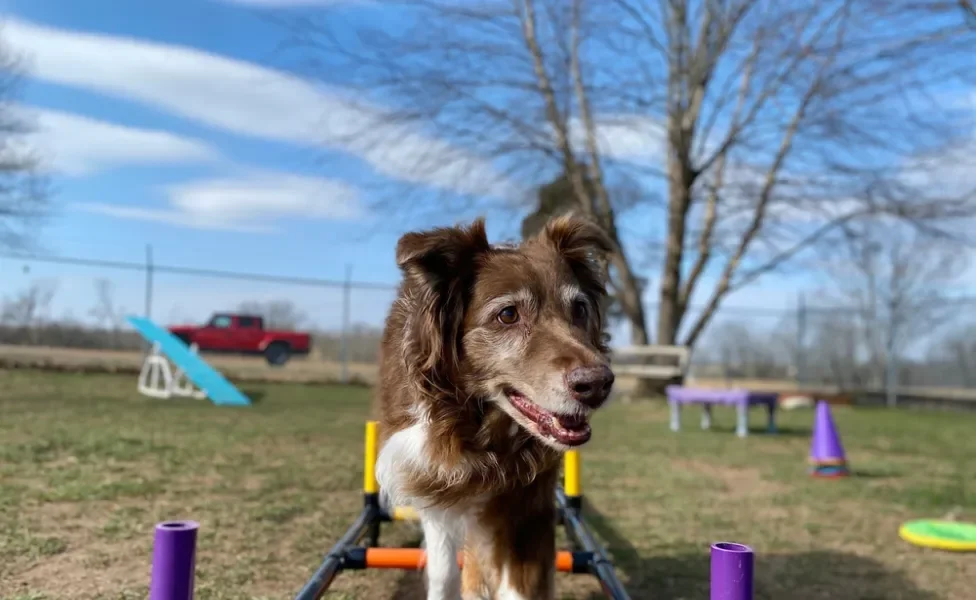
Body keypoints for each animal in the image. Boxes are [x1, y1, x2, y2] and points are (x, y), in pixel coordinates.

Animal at [376, 216, 612, 600]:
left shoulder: (526, 500)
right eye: (508, 314)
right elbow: (444, 571)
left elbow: (516, 584)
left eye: (579, 309)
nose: (598, 385)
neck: (477, 426)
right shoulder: (433, 479)